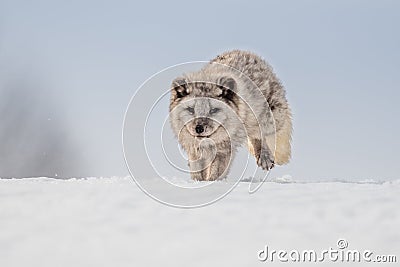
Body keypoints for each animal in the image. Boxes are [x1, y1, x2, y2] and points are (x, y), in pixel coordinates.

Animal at [167, 49, 292, 182]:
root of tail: (246, 52)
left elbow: (216, 173)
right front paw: (197, 182)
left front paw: (212, 183)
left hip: (268, 120)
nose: (199, 128)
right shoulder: (194, 150)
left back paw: (265, 157)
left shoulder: (224, 149)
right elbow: (197, 171)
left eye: (213, 110)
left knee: (261, 134)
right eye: (191, 109)